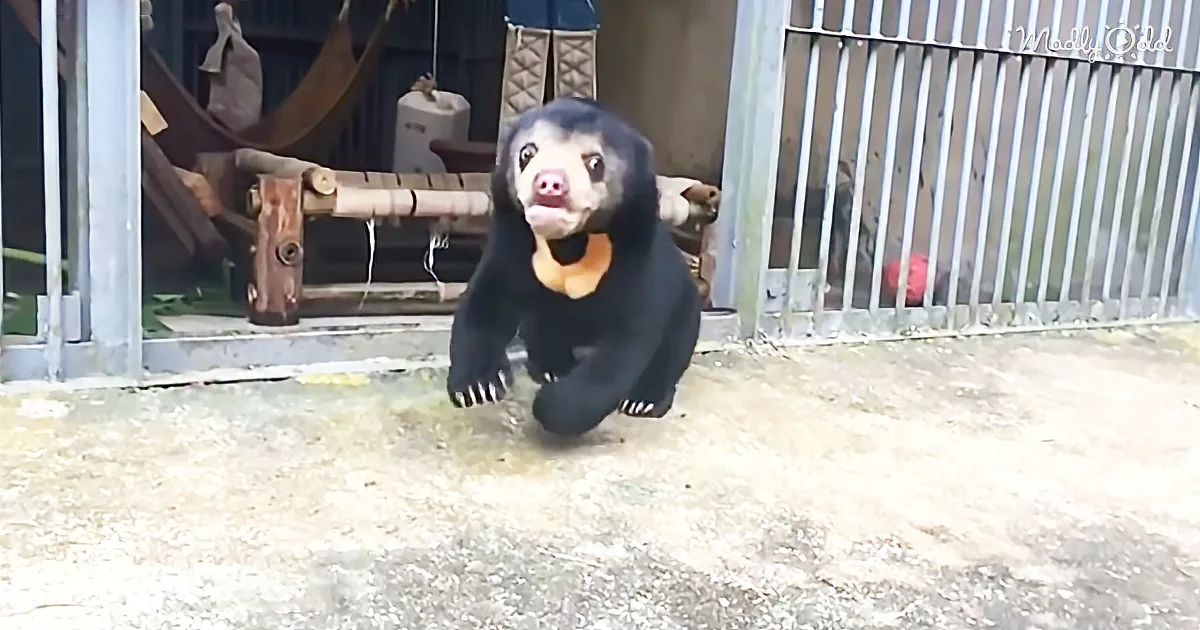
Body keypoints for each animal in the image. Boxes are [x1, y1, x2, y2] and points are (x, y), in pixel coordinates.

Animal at [445, 96, 702, 437]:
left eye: (595, 163)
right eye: (527, 153)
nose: (549, 184)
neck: (570, 244)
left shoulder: (636, 255)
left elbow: (624, 342)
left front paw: (553, 408)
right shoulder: (512, 242)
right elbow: (487, 300)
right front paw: (478, 386)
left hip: (684, 300)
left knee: (673, 346)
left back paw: (643, 400)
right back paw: (552, 367)